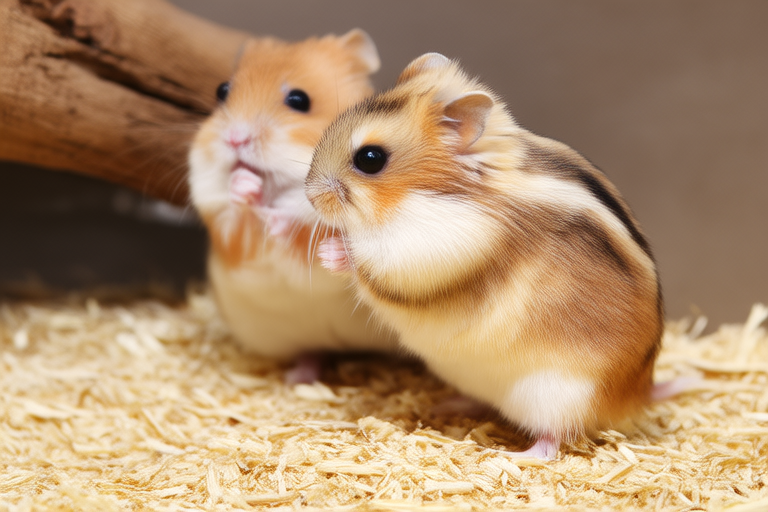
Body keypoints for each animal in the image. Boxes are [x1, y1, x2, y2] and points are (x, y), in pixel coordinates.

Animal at [188, 30, 397, 382]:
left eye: (299, 100)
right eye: (222, 91)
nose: (234, 138)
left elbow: (304, 221)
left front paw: (282, 223)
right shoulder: (213, 203)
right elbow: (232, 209)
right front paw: (247, 186)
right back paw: (299, 378)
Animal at [306, 53, 664, 458]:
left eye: (370, 158)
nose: (308, 195)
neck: (432, 195)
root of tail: (636, 397)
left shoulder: (428, 250)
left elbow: (370, 260)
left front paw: (329, 251)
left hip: (558, 394)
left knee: (552, 442)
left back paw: (512, 455)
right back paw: (445, 405)